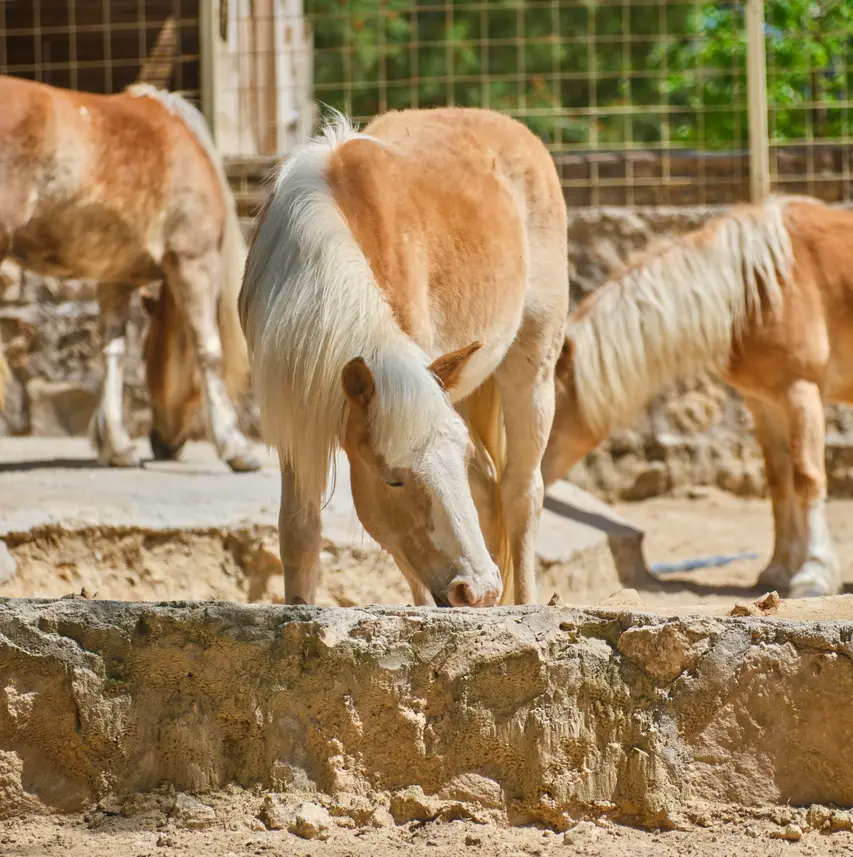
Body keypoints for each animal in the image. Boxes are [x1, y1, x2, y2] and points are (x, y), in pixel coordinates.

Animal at [0, 74, 260, 472]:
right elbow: (209, 349)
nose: (163, 444)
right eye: (152, 353)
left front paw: (116, 445)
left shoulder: (115, 278)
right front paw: (236, 446)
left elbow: (113, 353)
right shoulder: (194, 260)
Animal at [240, 107, 568, 604]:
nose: (478, 591)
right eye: (393, 479)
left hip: (532, 371)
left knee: (520, 493)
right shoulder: (295, 410)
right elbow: (300, 535)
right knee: (490, 487)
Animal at [544, 195, 852, 600]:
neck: (759, 288)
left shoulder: (801, 391)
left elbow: (806, 478)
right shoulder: (766, 403)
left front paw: (813, 574)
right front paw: (778, 570)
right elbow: (779, 483)